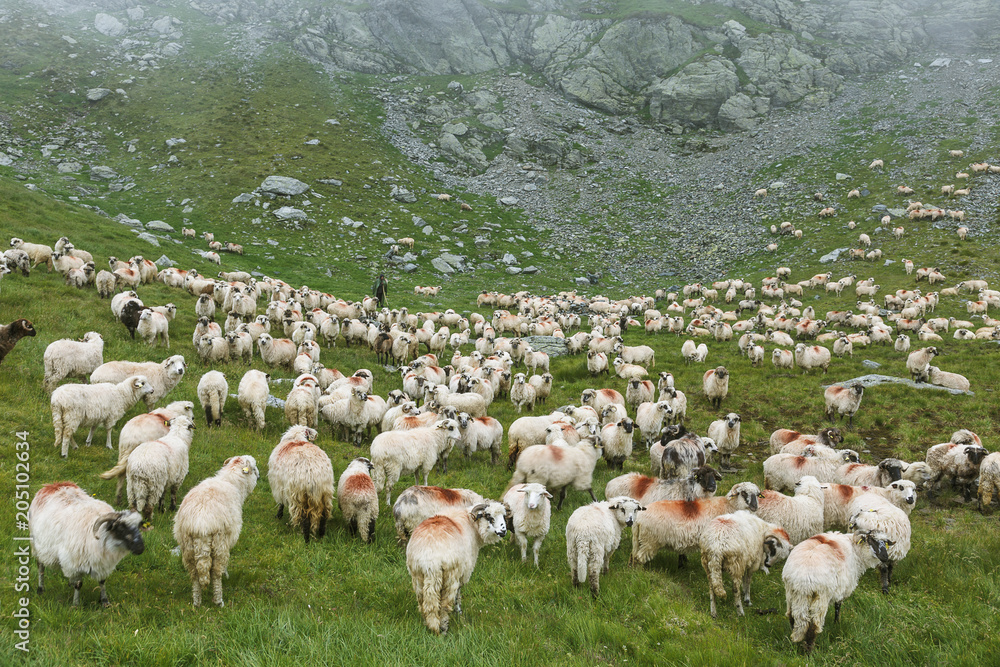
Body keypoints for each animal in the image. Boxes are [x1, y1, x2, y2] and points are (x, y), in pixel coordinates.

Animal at [173, 455, 259, 607]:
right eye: (254, 469)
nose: (259, 476)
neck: (231, 481)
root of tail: (200, 525)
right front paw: (226, 574)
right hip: (220, 543)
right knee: (215, 573)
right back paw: (219, 601)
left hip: (187, 546)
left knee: (195, 575)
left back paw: (196, 602)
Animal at [406, 501, 507, 635]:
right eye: (489, 517)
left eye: (503, 516)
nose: (503, 531)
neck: (472, 524)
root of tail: (430, 559)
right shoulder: (464, 571)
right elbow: (458, 593)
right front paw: (458, 611)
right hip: (450, 575)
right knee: (444, 604)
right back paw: (443, 629)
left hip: (417, 574)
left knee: (423, 601)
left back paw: (427, 624)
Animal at [630, 482, 762, 568]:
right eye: (743, 493)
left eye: (757, 494)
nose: (755, 506)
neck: (727, 505)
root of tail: (638, 518)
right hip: (650, 540)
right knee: (639, 558)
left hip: (641, 539)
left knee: (634, 555)